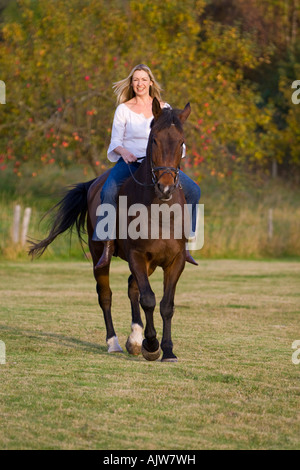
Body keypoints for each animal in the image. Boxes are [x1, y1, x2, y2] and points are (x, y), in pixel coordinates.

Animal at [29, 98, 193, 364]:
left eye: (181, 142)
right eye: (154, 140)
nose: (166, 188)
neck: (159, 210)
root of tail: (92, 185)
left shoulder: (174, 260)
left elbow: (166, 304)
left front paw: (167, 350)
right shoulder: (136, 255)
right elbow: (149, 299)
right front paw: (151, 345)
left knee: (132, 287)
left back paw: (134, 339)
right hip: (100, 257)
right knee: (106, 295)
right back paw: (114, 343)